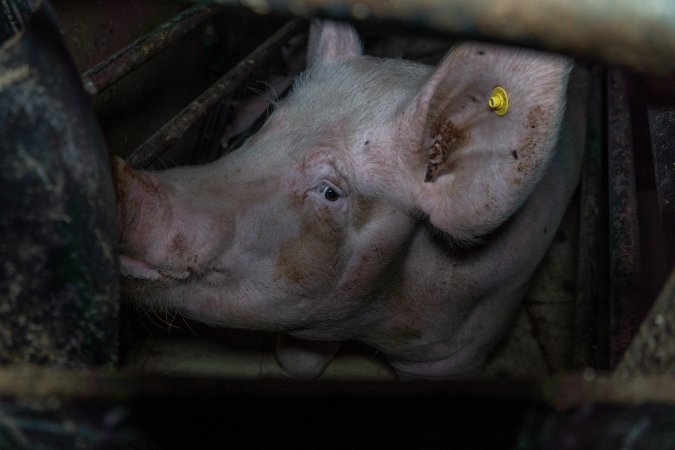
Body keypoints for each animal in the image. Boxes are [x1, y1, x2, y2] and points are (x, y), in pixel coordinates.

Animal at [115, 21, 588, 380]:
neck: (376, 324)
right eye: (264, 130)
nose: (122, 181)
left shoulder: (457, 352)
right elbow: (297, 360)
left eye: (330, 192)